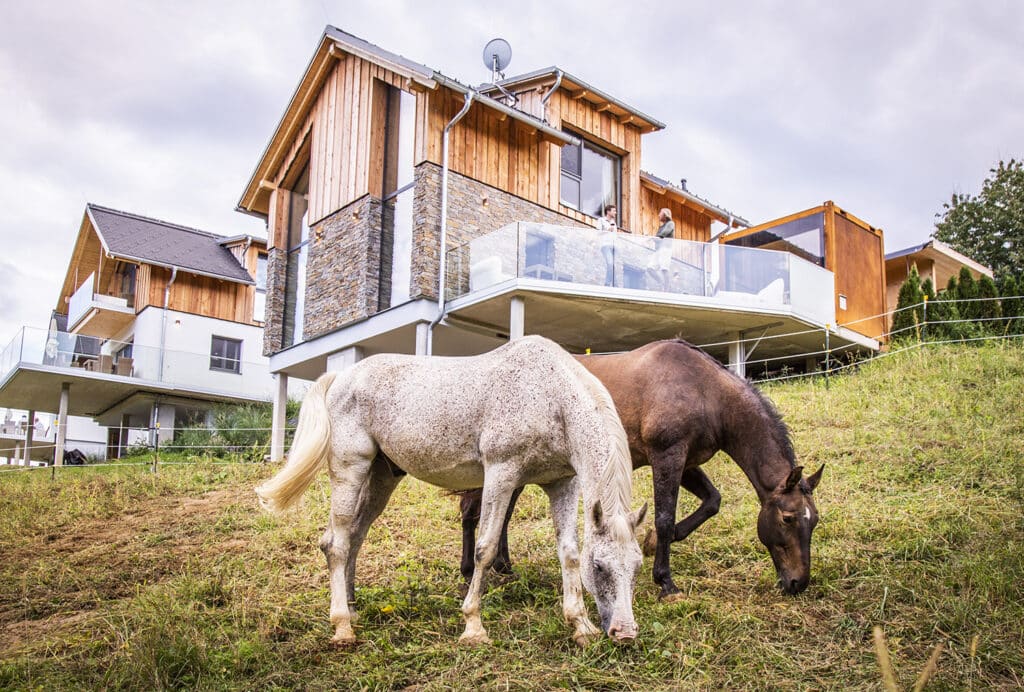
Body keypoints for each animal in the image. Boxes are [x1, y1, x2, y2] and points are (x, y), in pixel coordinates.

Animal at [256, 335, 647, 647]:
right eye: (600, 567)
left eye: (637, 566)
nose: (625, 632)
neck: (549, 395)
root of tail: (341, 377)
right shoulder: (501, 474)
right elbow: (485, 549)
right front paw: (473, 626)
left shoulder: (561, 483)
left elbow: (568, 553)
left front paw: (580, 625)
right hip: (350, 470)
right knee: (336, 543)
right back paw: (342, 627)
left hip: (381, 478)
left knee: (353, 536)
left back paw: (351, 609)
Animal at [459, 339, 824, 600]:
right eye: (787, 518)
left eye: (815, 521)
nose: (798, 582)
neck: (705, 391)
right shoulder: (667, 456)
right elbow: (663, 516)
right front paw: (665, 581)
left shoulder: (687, 463)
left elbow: (711, 502)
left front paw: (653, 543)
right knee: (473, 513)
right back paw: (470, 571)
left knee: (501, 515)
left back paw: (505, 567)